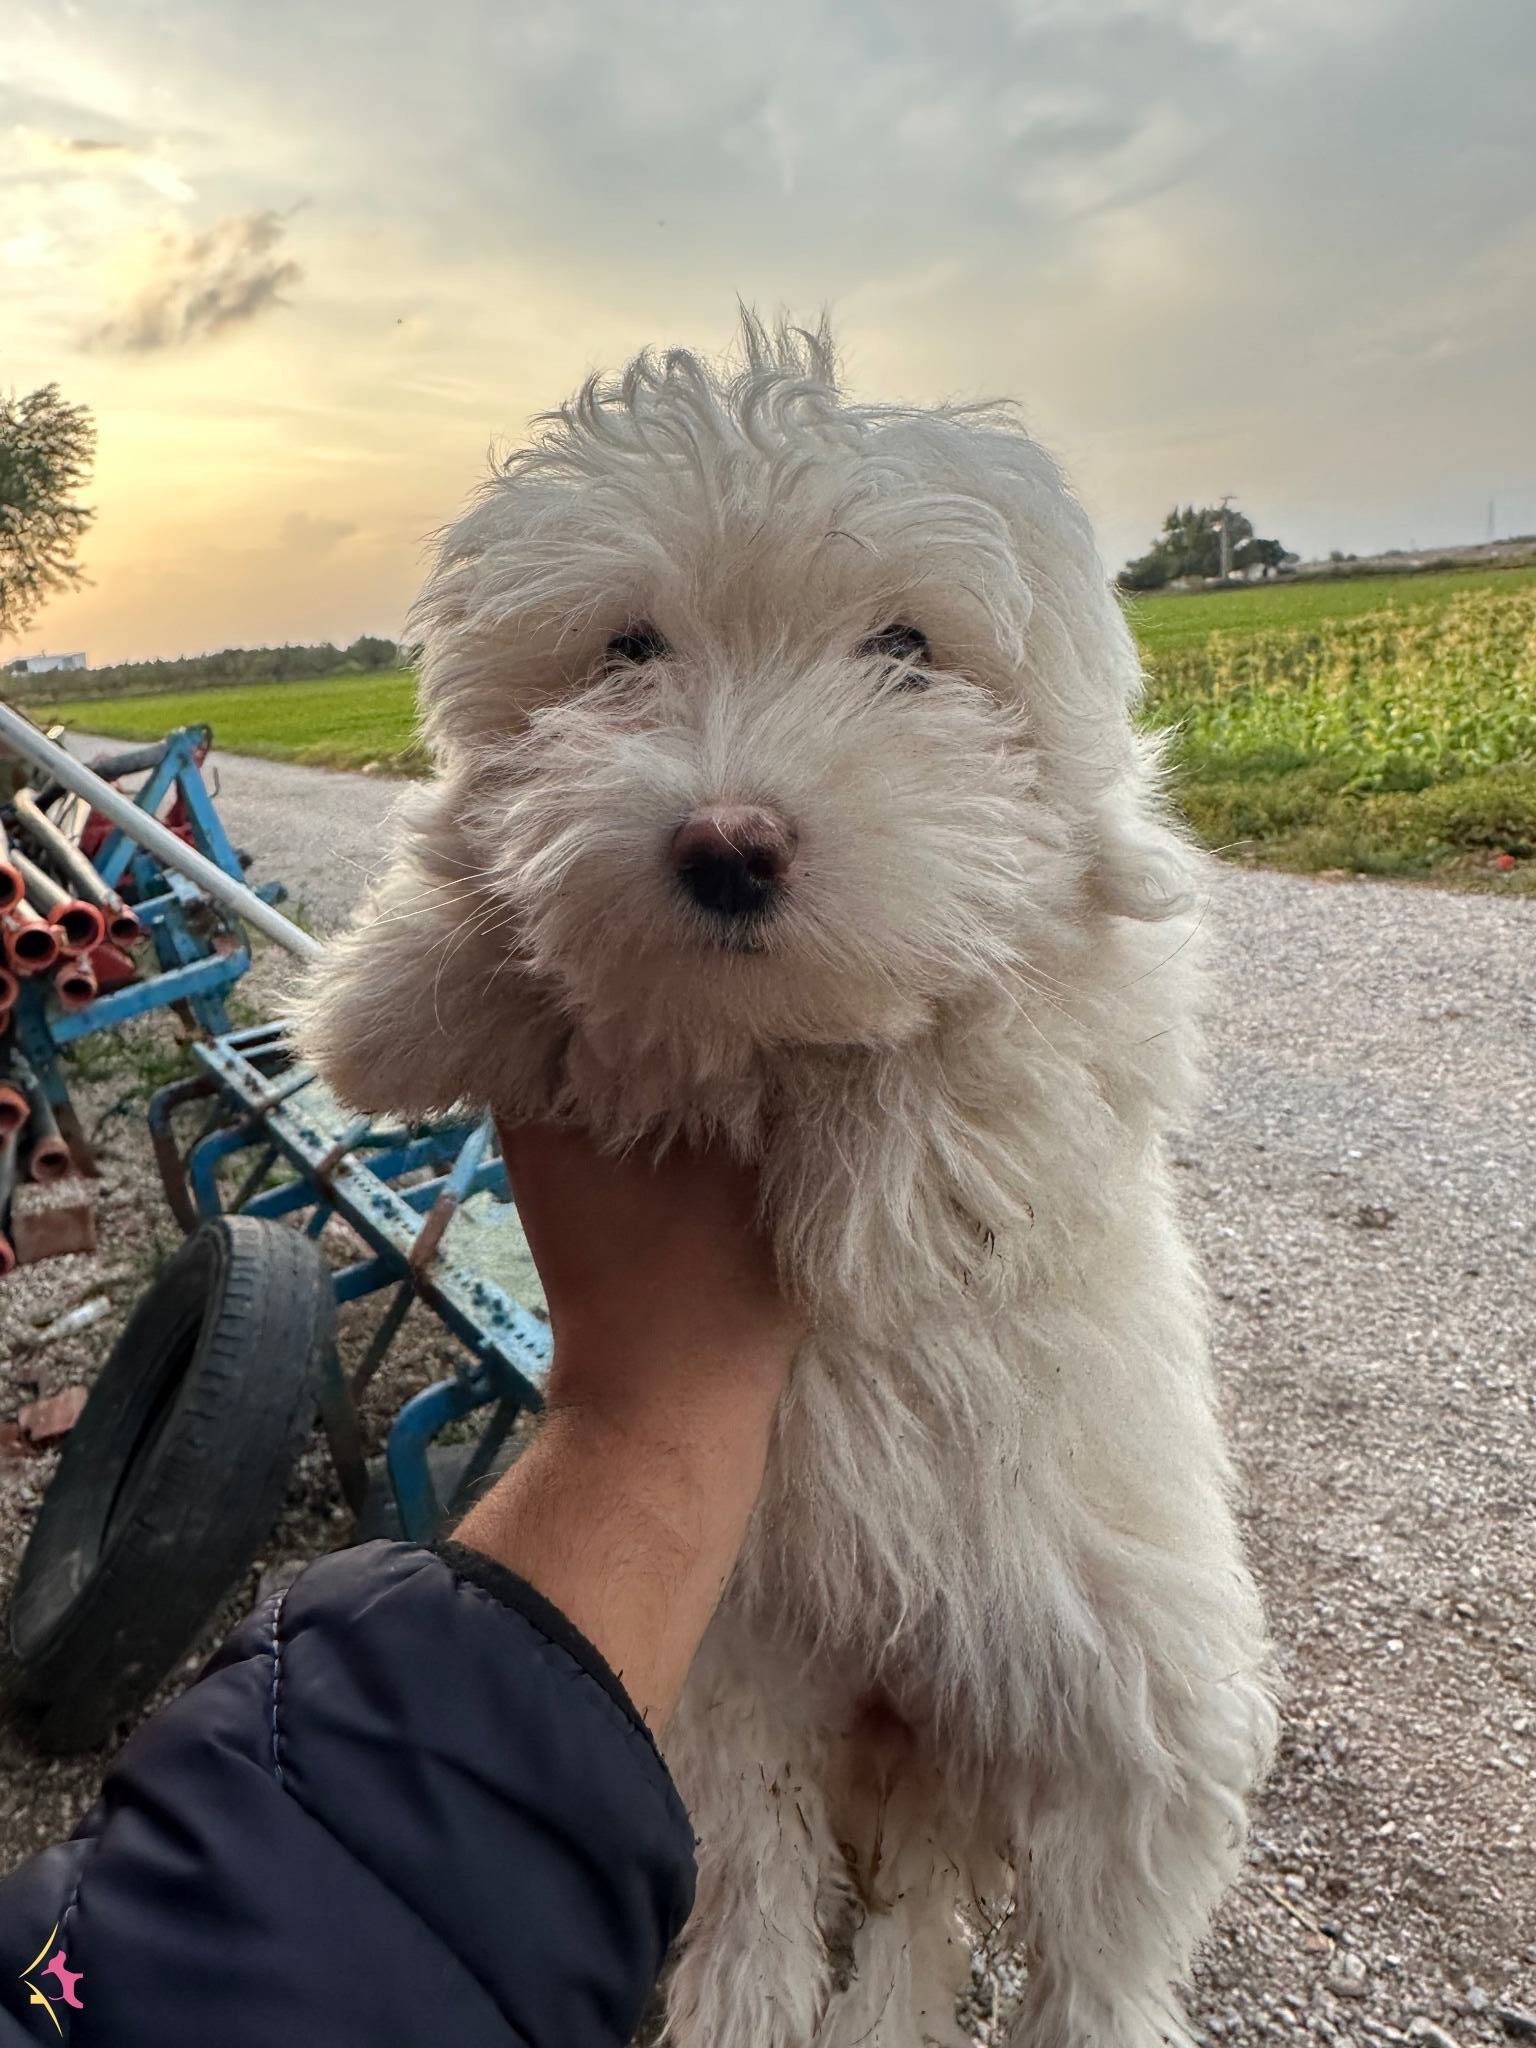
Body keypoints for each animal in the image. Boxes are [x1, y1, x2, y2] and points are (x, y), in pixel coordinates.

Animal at [300, 316, 1276, 2047]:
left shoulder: (1091, 992)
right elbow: (494, 884)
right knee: (776, 1879)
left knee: (1080, 1953)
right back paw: (754, 2002)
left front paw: (881, 1202)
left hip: (1130, 1723)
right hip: (724, 1684)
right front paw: (394, 990)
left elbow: (980, 1034)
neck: (766, 1039)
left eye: (907, 649)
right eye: (626, 650)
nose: (727, 844)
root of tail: (911, 1715)